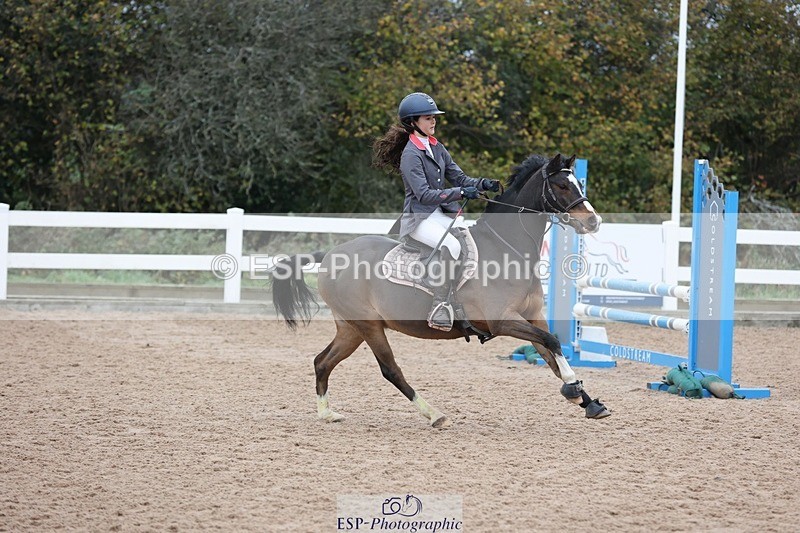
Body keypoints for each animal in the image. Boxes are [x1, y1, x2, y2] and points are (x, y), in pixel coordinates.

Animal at [272, 153, 611, 427]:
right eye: (563, 186)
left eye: (578, 184)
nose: (594, 222)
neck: (507, 249)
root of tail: (331, 254)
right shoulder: (502, 320)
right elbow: (552, 342)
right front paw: (573, 386)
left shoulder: (532, 316)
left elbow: (551, 352)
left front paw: (587, 401)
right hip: (368, 326)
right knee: (390, 369)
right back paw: (433, 414)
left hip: (351, 328)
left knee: (322, 361)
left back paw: (327, 413)